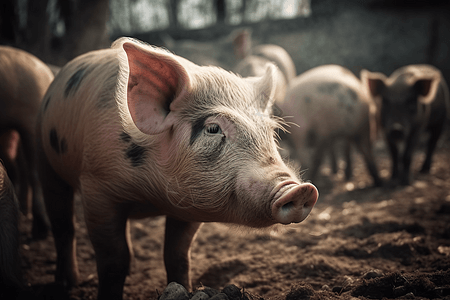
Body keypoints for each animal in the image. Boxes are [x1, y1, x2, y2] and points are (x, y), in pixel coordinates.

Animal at [37, 37, 320, 300]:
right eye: (213, 128)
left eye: (270, 131)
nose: (300, 190)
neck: (151, 196)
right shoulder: (97, 186)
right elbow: (114, 260)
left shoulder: (189, 207)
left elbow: (178, 255)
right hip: (46, 162)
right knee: (63, 226)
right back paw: (66, 284)